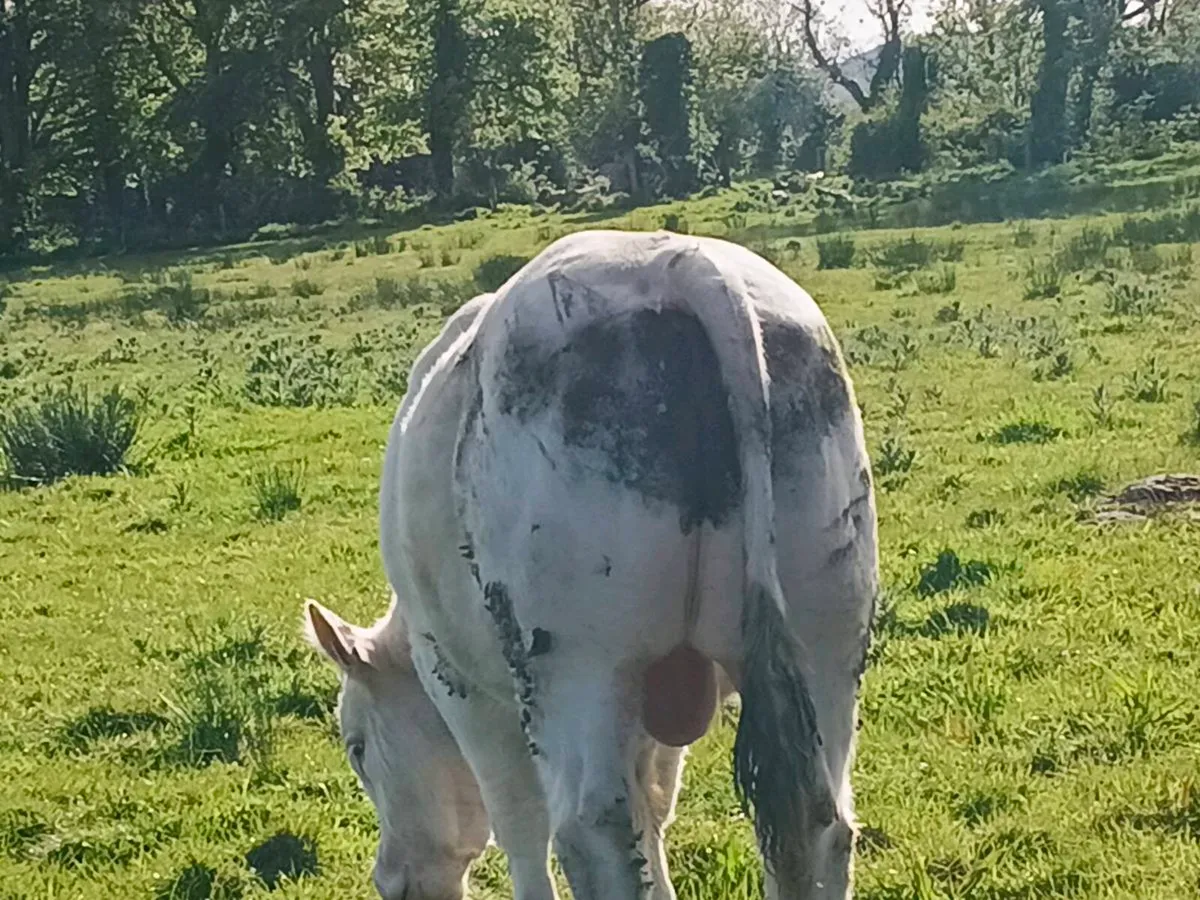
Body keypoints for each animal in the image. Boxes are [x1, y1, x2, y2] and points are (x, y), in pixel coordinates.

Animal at [304, 229, 878, 900]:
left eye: (357, 748)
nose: (392, 878)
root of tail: (680, 266)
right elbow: (654, 807)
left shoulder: (456, 678)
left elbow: (520, 823)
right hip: (827, 640)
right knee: (817, 822)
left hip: (578, 665)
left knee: (591, 832)